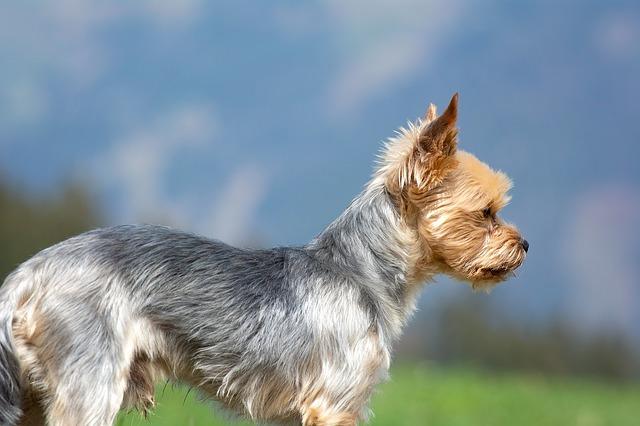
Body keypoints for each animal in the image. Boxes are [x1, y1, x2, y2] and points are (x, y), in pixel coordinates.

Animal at [1, 94, 524, 426]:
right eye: (486, 213)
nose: (524, 246)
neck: (362, 271)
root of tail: (26, 277)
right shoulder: (335, 403)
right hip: (90, 378)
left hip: (33, 396)